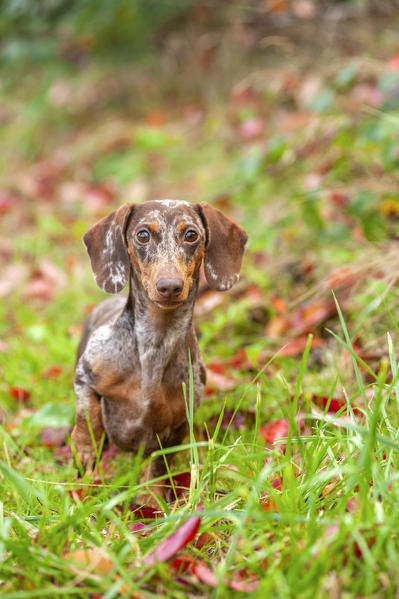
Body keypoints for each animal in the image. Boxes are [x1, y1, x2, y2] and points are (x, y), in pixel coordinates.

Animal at [71, 199, 247, 504]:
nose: (170, 286)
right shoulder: (85, 375)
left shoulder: (176, 427)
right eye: (143, 234)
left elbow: (157, 467)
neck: (154, 347)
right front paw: (85, 449)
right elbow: (88, 417)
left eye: (191, 235)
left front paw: (149, 501)